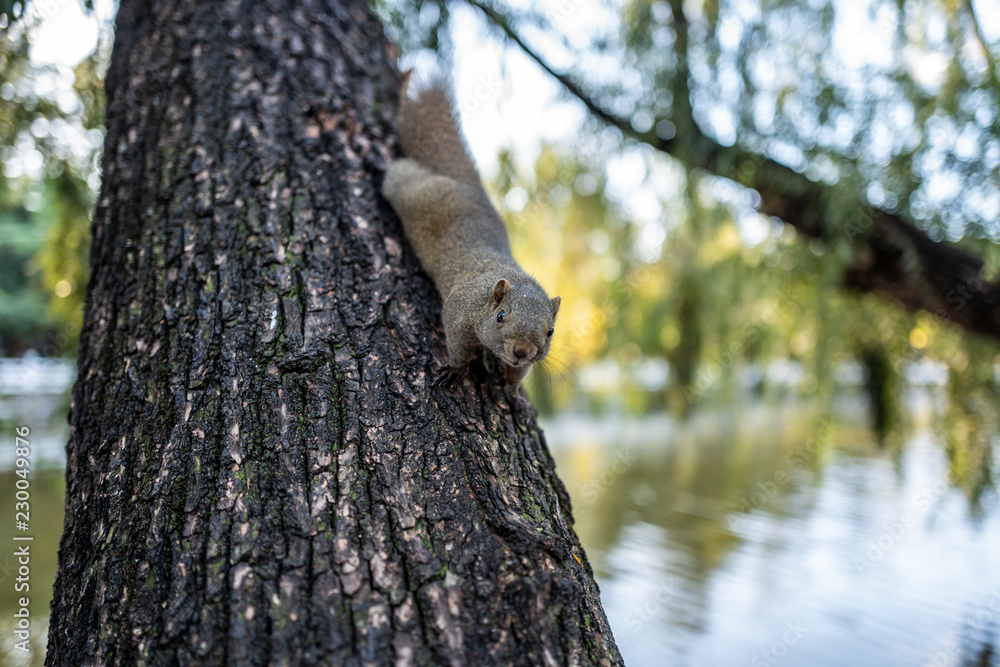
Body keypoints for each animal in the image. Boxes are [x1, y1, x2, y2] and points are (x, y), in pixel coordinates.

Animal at [382, 73, 561, 386]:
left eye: (550, 331)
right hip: (417, 195)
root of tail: (469, 186)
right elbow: (458, 346)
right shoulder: (459, 312)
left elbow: (518, 373)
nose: (521, 351)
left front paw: (513, 388)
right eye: (501, 316)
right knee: (398, 177)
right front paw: (456, 370)